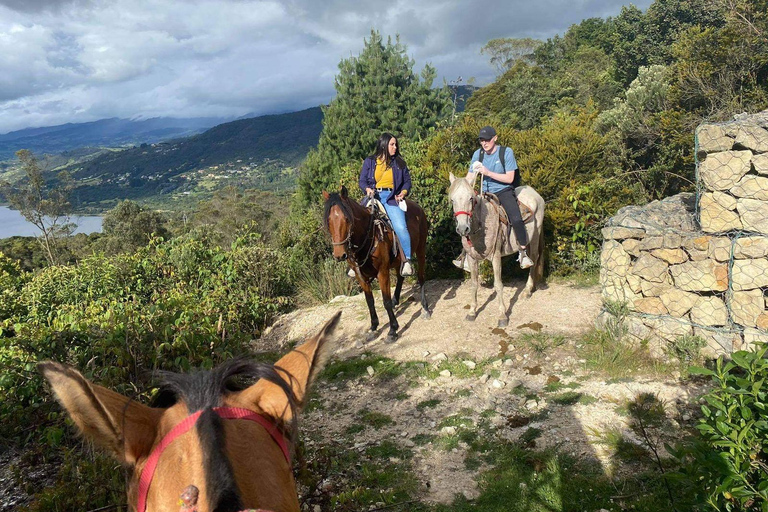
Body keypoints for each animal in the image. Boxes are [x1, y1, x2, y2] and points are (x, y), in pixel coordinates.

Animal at [320, 186, 428, 342]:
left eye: (347, 219)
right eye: (328, 221)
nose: (340, 255)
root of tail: (418, 208)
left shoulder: (382, 272)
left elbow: (385, 301)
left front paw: (392, 330)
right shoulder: (360, 276)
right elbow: (369, 301)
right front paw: (373, 326)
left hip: (420, 249)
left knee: (421, 277)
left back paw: (425, 307)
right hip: (398, 260)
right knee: (400, 276)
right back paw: (396, 301)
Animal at [448, 172, 544, 328]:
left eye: (471, 198)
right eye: (452, 200)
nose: (463, 229)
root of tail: (534, 193)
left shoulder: (496, 256)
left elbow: (498, 285)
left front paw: (502, 315)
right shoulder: (472, 258)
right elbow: (474, 284)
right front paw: (472, 312)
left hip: (536, 234)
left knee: (534, 259)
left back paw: (528, 290)